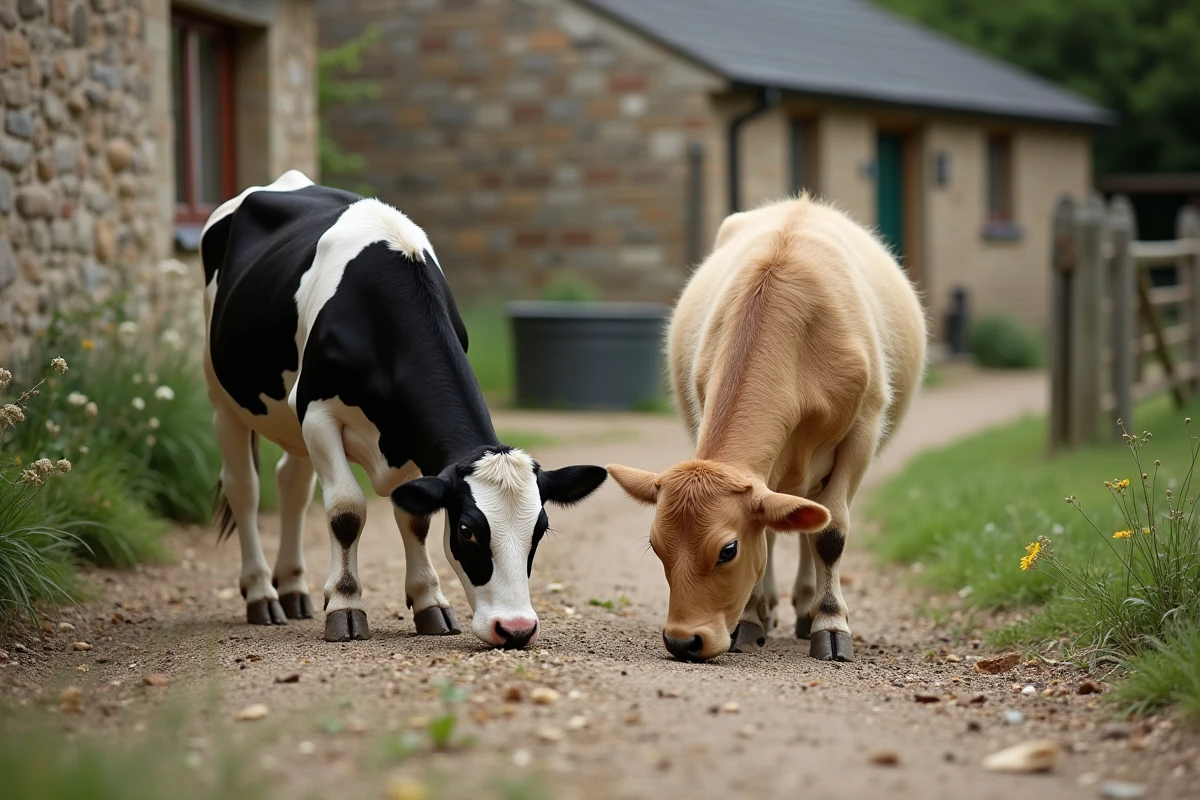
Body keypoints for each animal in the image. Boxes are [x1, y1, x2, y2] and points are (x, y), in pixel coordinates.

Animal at [200, 171, 607, 648]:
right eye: (467, 530)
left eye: (539, 530)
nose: (516, 628)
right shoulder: (317, 412)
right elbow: (345, 510)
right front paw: (346, 605)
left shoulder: (410, 436)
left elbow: (415, 519)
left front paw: (430, 602)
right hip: (222, 395)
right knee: (244, 488)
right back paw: (262, 593)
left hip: (287, 415)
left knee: (292, 485)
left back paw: (294, 588)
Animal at [606, 196, 926, 662]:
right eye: (655, 544)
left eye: (728, 550)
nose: (682, 641)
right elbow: (773, 532)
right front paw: (751, 618)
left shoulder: (863, 433)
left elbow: (831, 533)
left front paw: (830, 623)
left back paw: (808, 609)